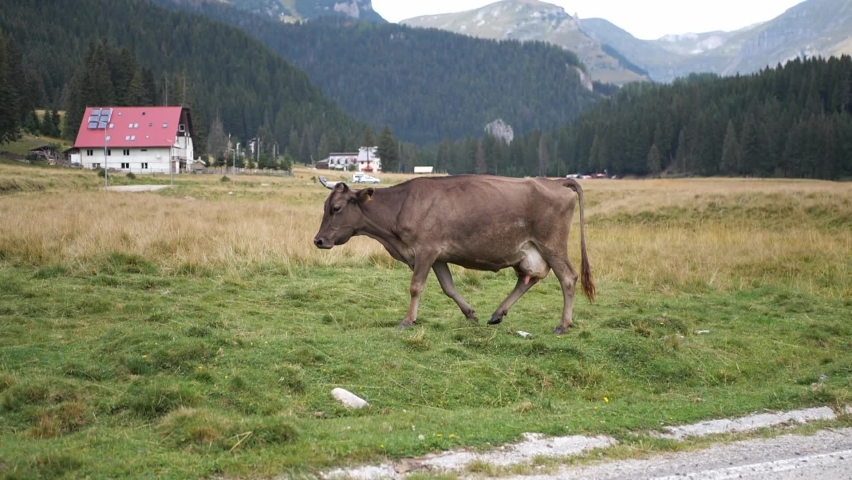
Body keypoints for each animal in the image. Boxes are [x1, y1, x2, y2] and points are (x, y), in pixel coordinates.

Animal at [313, 175, 595, 334]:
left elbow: (416, 287)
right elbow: (448, 288)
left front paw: (407, 321)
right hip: (528, 251)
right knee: (529, 278)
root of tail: (556, 182)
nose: (318, 240)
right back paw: (498, 313)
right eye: (325, 206)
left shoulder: (425, 250)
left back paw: (563, 325)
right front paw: (470, 314)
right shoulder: (438, 256)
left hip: (552, 244)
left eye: (336, 208)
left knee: (568, 278)